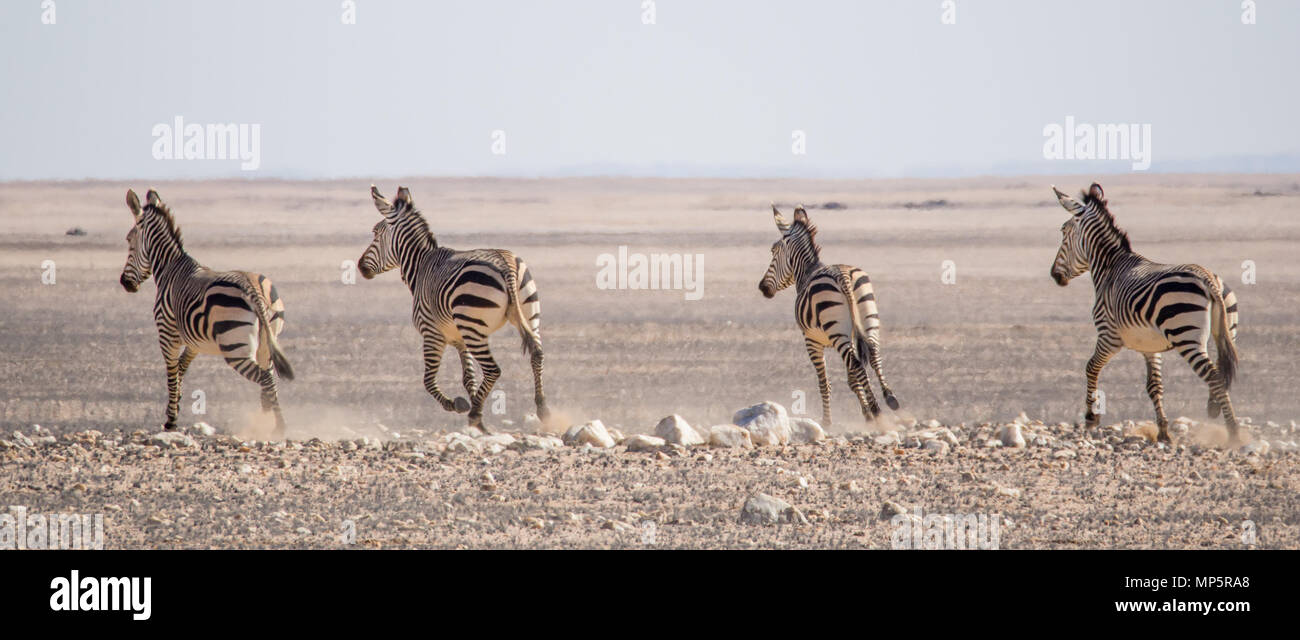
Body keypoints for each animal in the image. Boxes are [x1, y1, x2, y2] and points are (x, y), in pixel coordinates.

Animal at [120, 189, 295, 437]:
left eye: (129, 239)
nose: (125, 283)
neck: (170, 268)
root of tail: (252, 289)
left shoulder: (166, 334)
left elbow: (171, 373)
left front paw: (171, 421)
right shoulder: (194, 343)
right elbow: (181, 370)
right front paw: (176, 406)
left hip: (235, 348)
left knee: (266, 377)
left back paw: (278, 426)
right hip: (267, 341)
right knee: (268, 379)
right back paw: (264, 421)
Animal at [361, 184, 548, 434]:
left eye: (375, 233)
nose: (360, 267)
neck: (421, 266)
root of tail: (505, 263)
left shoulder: (432, 333)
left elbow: (428, 381)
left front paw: (461, 405)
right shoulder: (460, 338)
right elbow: (468, 378)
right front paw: (478, 408)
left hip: (474, 327)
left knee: (493, 369)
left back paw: (475, 415)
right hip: (527, 314)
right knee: (537, 354)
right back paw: (542, 409)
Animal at [759, 204, 899, 424]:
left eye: (774, 251)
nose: (762, 287)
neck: (807, 271)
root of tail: (842, 276)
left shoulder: (811, 341)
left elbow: (825, 383)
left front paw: (827, 421)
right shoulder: (850, 338)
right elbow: (852, 379)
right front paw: (865, 414)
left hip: (836, 332)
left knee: (857, 364)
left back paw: (877, 410)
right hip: (867, 318)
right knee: (873, 354)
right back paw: (889, 399)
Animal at [1045, 182, 1237, 444]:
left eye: (1064, 232)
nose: (1054, 275)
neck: (1110, 267)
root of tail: (1207, 278)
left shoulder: (1108, 335)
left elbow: (1091, 367)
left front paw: (1091, 417)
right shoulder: (1150, 346)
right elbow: (1154, 386)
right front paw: (1164, 431)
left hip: (1187, 337)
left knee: (1215, 376)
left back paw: (1234, 432)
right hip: (1227, 331)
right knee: (1222, 372)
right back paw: (1215, 408)